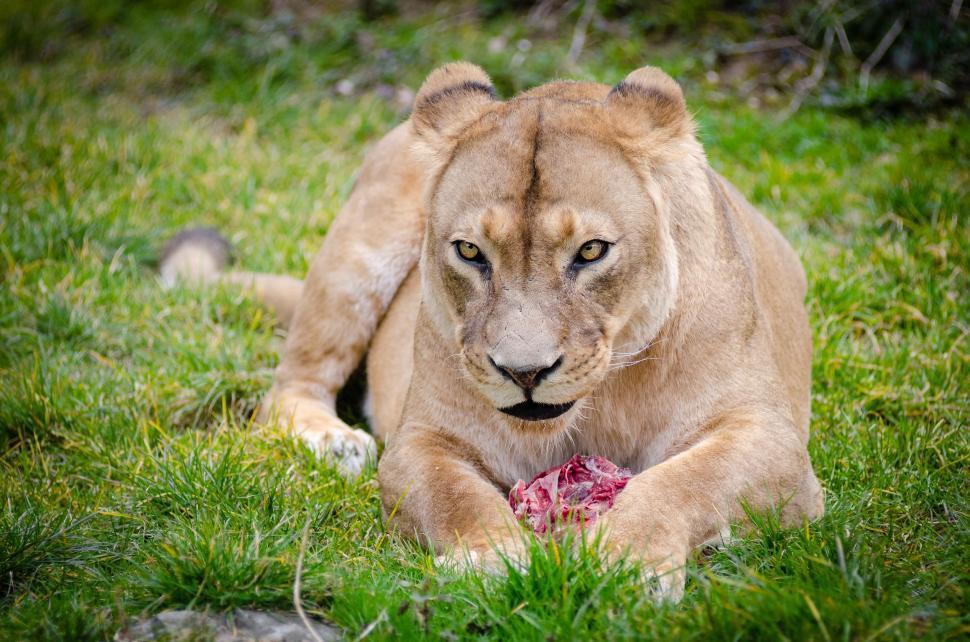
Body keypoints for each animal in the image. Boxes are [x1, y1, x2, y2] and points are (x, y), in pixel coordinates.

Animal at [161, 63, 825, 600]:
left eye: (591, 250)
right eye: (470, 251)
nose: (524, 373)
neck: (601, 400)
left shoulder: (773, 443)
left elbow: (679, 485)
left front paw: (622, 562)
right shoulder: (421, 441)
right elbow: (457, 500)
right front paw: (490, 563)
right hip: (357, 253)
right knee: (288, 387)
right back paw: (331, 440)